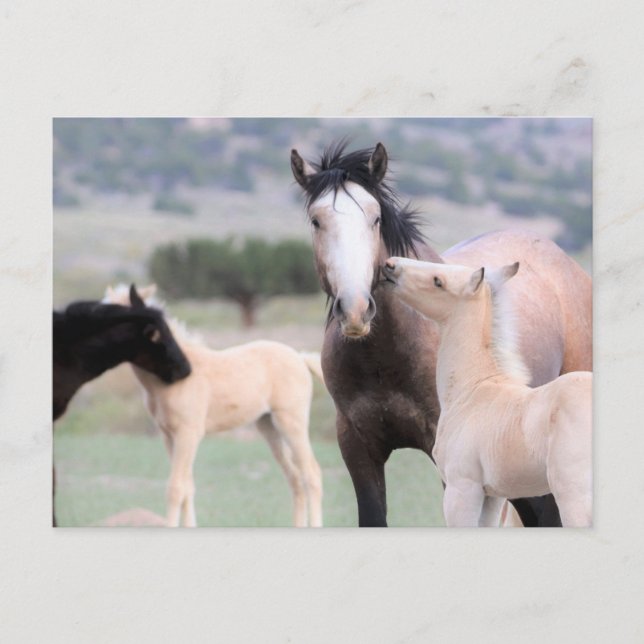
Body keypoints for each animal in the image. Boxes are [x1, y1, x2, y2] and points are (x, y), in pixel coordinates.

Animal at [102, 284, 324, 528]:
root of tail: (300, 358)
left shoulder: (188, 434)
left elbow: (176, 488)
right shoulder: (169, 436)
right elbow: (187, 487)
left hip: (291, 423)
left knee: (311, 474)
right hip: (268, 427)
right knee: (295, 478)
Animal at [382, 258, 592, 527]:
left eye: (438, 281)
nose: (390, 265)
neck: (471, 390)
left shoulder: (462, 488)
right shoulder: (493, 496)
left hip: (573, 496)